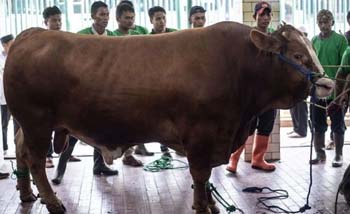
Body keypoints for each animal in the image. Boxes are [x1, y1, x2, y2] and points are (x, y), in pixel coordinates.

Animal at [5, 22, 334, 214]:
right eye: (297, 54)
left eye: (310, 50)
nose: (327, 84)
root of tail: (33, 33)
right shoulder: (201, 135)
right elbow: (200, 175)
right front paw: (202, 207)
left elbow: (205, 177)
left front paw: (211, 204)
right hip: (36, 122)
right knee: (36, 160)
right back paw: (52, 201)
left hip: (27, 125)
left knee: (21, 151)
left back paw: (27, 195)